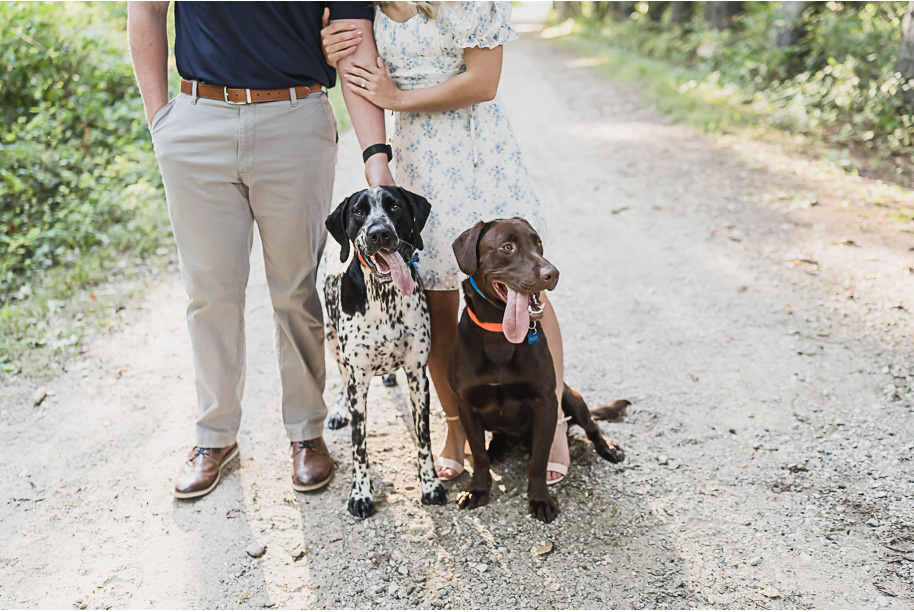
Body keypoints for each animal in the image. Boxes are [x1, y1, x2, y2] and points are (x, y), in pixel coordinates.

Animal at [324, 185, 446, 516]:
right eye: (358, 211)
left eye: (394, 207)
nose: (379, 233)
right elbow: (359, 447)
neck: (386, 296)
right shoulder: (359, 383)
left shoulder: (418, 375)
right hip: (330, 339)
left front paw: (430, 485)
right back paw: (337, 410)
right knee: (340, 377)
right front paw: (360, 494)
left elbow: (424, 439)